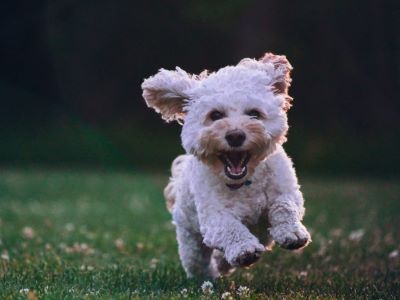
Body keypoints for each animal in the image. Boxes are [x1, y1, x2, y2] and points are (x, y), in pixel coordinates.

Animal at [142, 52, 310, 278]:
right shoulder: (213, 216)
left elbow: (284, 206)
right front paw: (244, 250)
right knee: (198, 261)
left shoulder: (286, 190)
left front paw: (292, 233)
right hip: (190, 237)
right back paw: (209, 275)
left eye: (254, 113)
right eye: (215, 115)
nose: (235, 135)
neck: (245, 182)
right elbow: (230, 227)